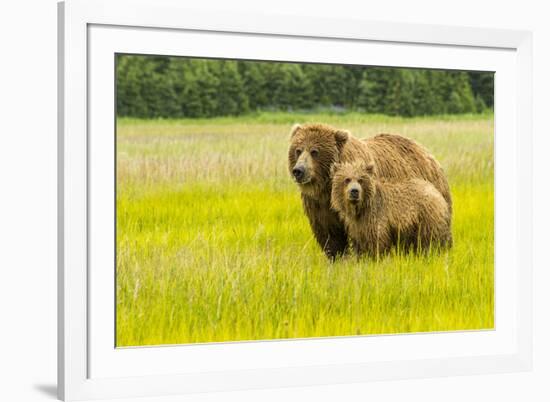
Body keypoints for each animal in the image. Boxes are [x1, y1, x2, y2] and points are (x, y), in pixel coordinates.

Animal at [288, 124, 452, 260]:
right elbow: (330, 236)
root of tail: (424, 150)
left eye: (315, 151)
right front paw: (337, 259)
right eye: (298, 150)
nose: (299, 171)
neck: (326, 189)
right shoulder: (319, 206)